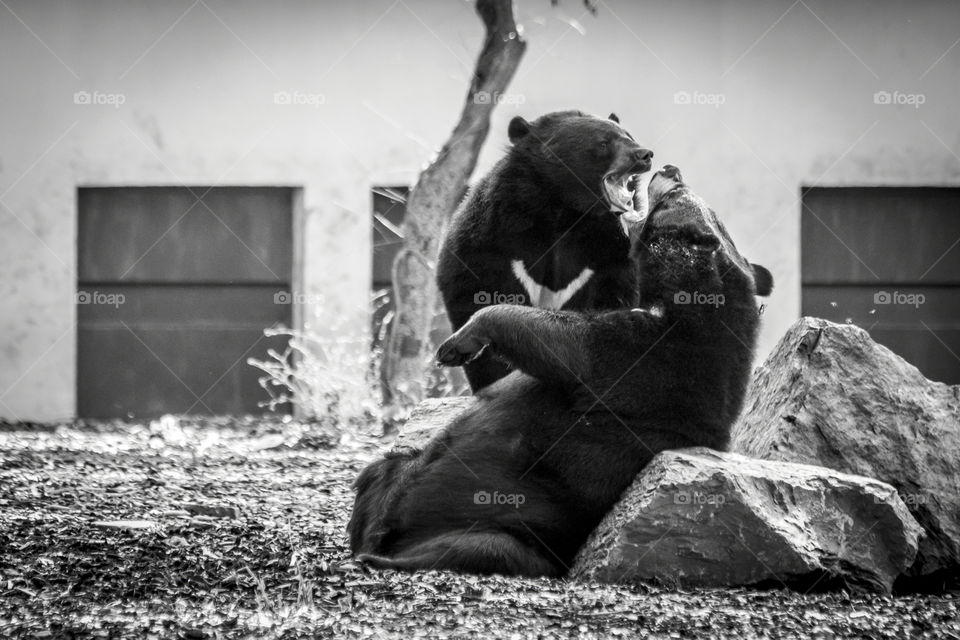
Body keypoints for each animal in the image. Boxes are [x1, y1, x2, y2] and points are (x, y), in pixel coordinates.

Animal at [348, 166, 776, 580]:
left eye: (673, 195)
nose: (669, 170)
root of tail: (395, 537)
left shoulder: (654, 361)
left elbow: (567, 344)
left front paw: (459, 342)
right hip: (407, 474)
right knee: (382, 469)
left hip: (499, 530)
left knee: (481, 547)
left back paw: (384, 558)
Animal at [438, 108, 656, 392]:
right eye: (603, 143)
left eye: (629, 135)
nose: (644, 155)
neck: (565, 209)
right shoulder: (489, 241)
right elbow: (478, 292)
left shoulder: (613, 254)